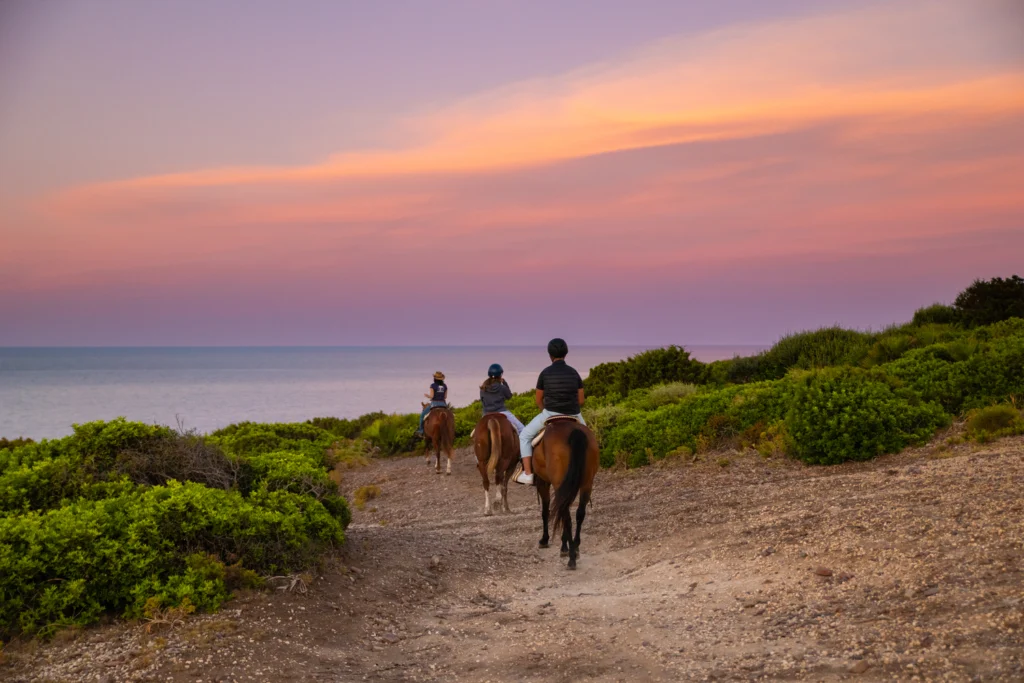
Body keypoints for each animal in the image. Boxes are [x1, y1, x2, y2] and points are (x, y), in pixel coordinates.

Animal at [531, 417, 600, 570]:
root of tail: (575, 432)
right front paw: (566, 546)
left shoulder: (543, 482)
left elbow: (546, 512)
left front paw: (545, 540)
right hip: (586, 483)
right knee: (579, 514)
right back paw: (575, 547)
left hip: (558, 483)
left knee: (566, 516)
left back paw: (571, 558)